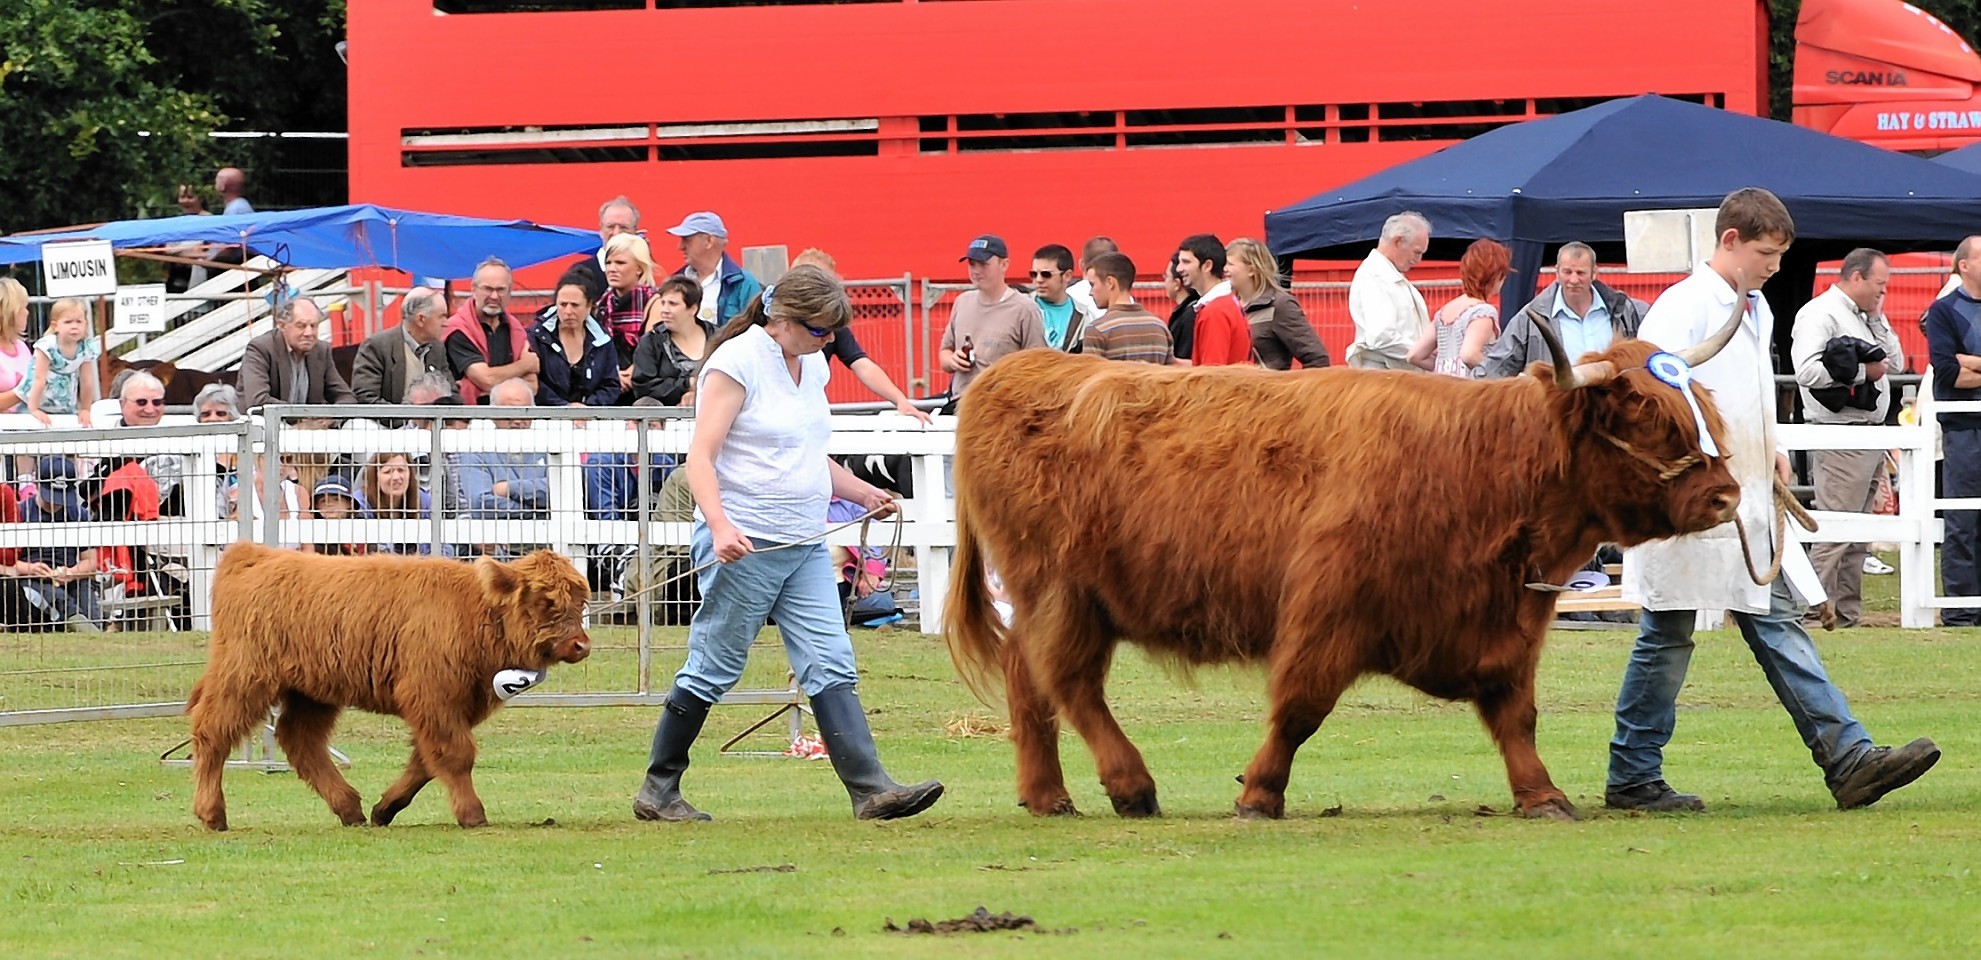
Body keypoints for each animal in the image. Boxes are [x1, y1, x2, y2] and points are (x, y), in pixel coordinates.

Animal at [188, 542, 590, 827]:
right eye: (546, 601)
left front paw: (385, 808)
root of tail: (254, 555)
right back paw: (213, 814)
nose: (581, 645)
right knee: (212, 732)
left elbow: (426, 761)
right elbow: (455, 755)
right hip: (243, 679)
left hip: (311, 693)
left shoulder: (452, 707)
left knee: (300, 738)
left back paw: (351, 809)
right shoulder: (432, 698)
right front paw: (473, 814)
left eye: (581, 601)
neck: (473, 609)